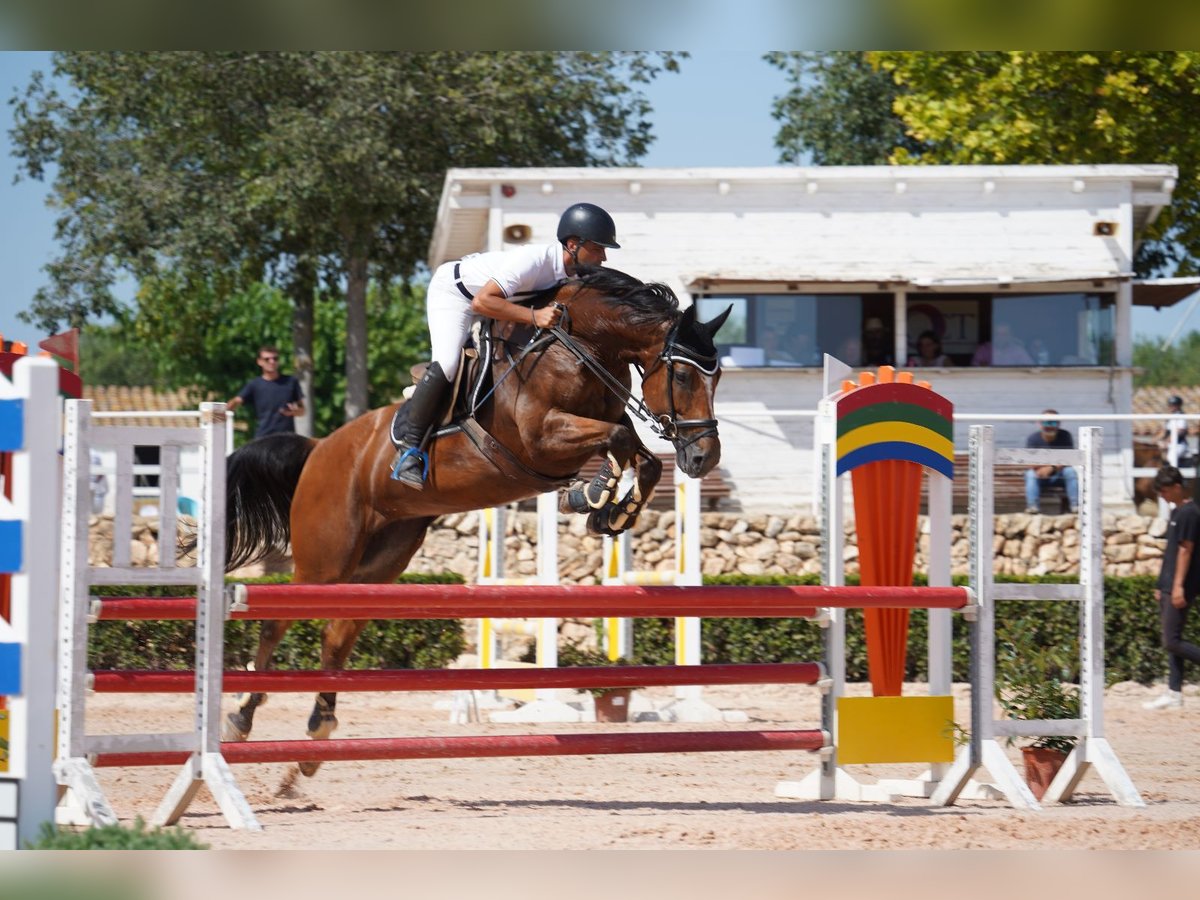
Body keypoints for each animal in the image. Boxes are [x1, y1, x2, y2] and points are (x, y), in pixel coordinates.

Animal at [217, 264, 729, 772]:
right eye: (684, 378)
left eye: (718, 377)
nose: (704, 458)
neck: (581, 346)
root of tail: (318, 447)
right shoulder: (542, 438)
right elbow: (619, 440)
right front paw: (591, 494)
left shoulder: (597, 427)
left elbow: (644, 457)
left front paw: (611, 513)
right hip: (326, 558)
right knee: (277, 623)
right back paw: (241, 716)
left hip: (381, 560)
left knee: (339, 632)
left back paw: (318, 728)